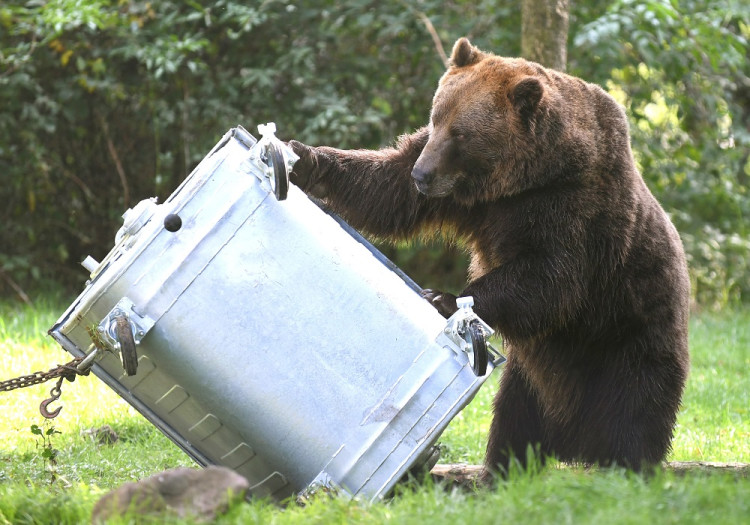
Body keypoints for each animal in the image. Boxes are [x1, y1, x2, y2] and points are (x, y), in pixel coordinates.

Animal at [288, 39, 692, 476]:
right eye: (436, 117)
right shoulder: (474, 200)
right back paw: (504, 469)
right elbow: (388, 188)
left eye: (461, 133)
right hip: (531, 375)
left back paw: (622, 467)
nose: (422, 175)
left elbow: (549, 278)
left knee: (632, 418)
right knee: (517, 418)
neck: (523, 178)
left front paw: (445, 298)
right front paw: (306, 159)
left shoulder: (572, 209)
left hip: (626, 338)